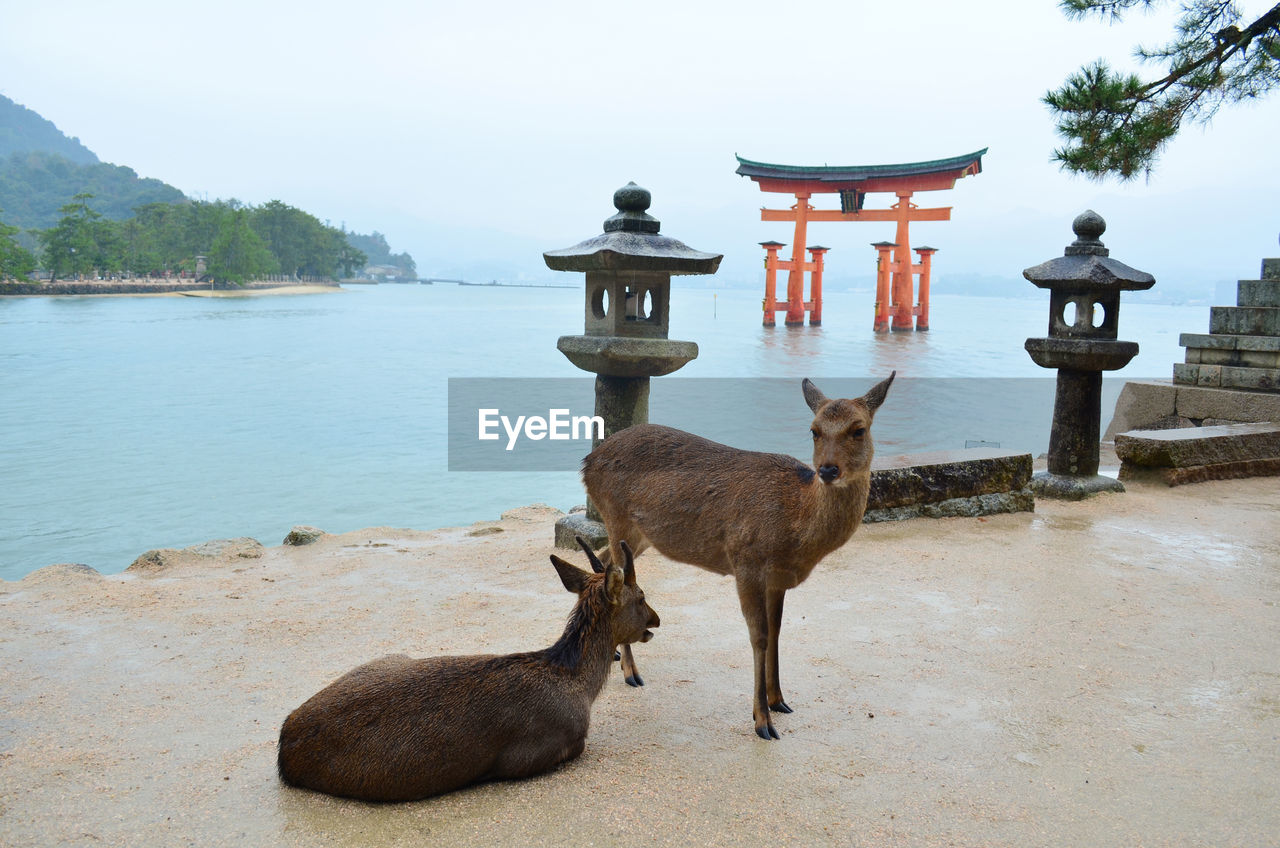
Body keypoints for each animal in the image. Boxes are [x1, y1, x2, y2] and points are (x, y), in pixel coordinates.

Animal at [586, 376, 896, 742]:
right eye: (814, 430)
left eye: (859, 429)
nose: (828, 469)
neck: (795, 525)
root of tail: (587, 463)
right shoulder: (746, 562)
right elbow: (758, 636)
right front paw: (762, 721)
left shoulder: (777, 579)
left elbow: (776, 631)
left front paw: (780, 700)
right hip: (616, 516)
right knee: (617, 570)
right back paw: (631, 671)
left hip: (640, 535)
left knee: (604, 559)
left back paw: (616, 651)